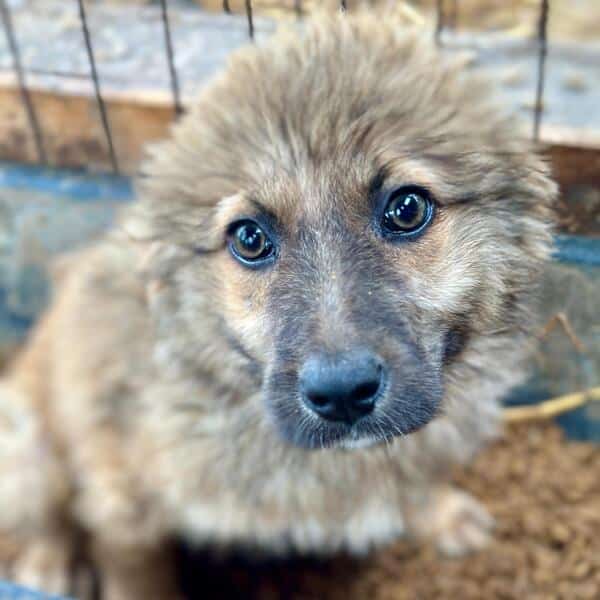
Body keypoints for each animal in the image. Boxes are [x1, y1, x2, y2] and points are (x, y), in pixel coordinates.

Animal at [0, 10, 556, 599]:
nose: (342, 393)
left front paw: (442, 513)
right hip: (23, 441)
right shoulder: (121, 491)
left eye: (407, 209)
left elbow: (418, 474)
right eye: (249, 239)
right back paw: (45, 567)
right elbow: (136, 572)